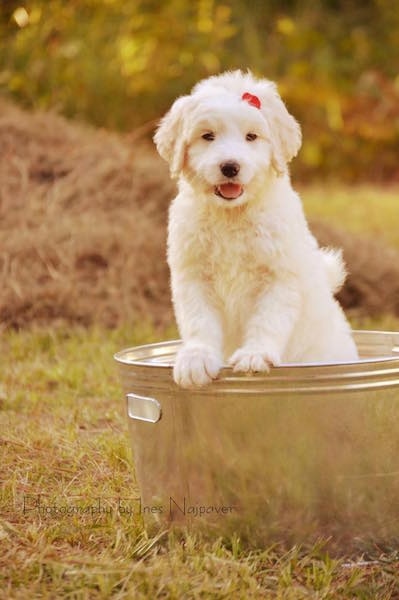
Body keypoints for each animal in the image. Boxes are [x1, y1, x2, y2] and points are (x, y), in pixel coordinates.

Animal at [154, 71, 360, 390]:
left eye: (251, 136)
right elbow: (199, 321)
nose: (230, 167)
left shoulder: (279, 276)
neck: (232, 215)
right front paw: (196, 358)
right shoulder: (194, 276)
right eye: (207, 136)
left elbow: (267, 320)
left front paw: (254, 355)